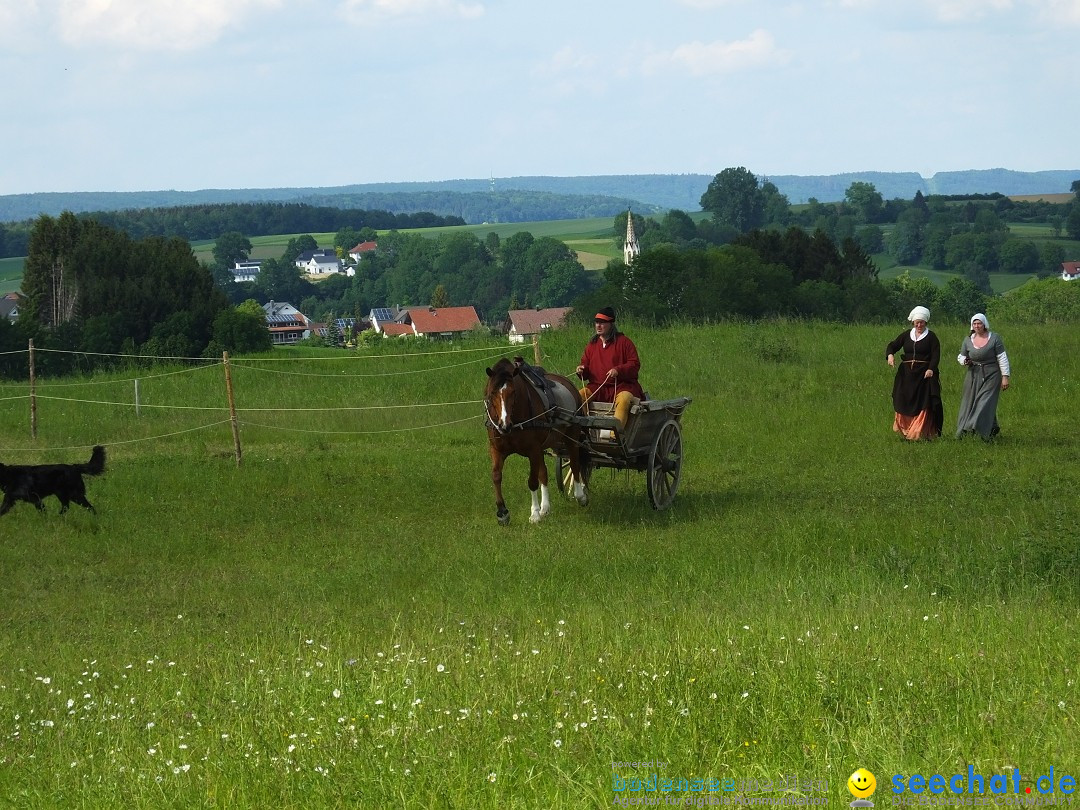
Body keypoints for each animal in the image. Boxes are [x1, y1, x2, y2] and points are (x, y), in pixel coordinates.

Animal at [483, 356, 587, 527]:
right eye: (492, 392)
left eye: (513, 392)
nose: (504, 425)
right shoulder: (497, 449)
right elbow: (496, 476)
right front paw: (502, 512)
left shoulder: (533, 450)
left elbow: (532, 481)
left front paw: (535, 514)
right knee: (544, 472)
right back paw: (546, 507)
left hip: (572, 436)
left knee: (575, 463)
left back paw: (580, 495)